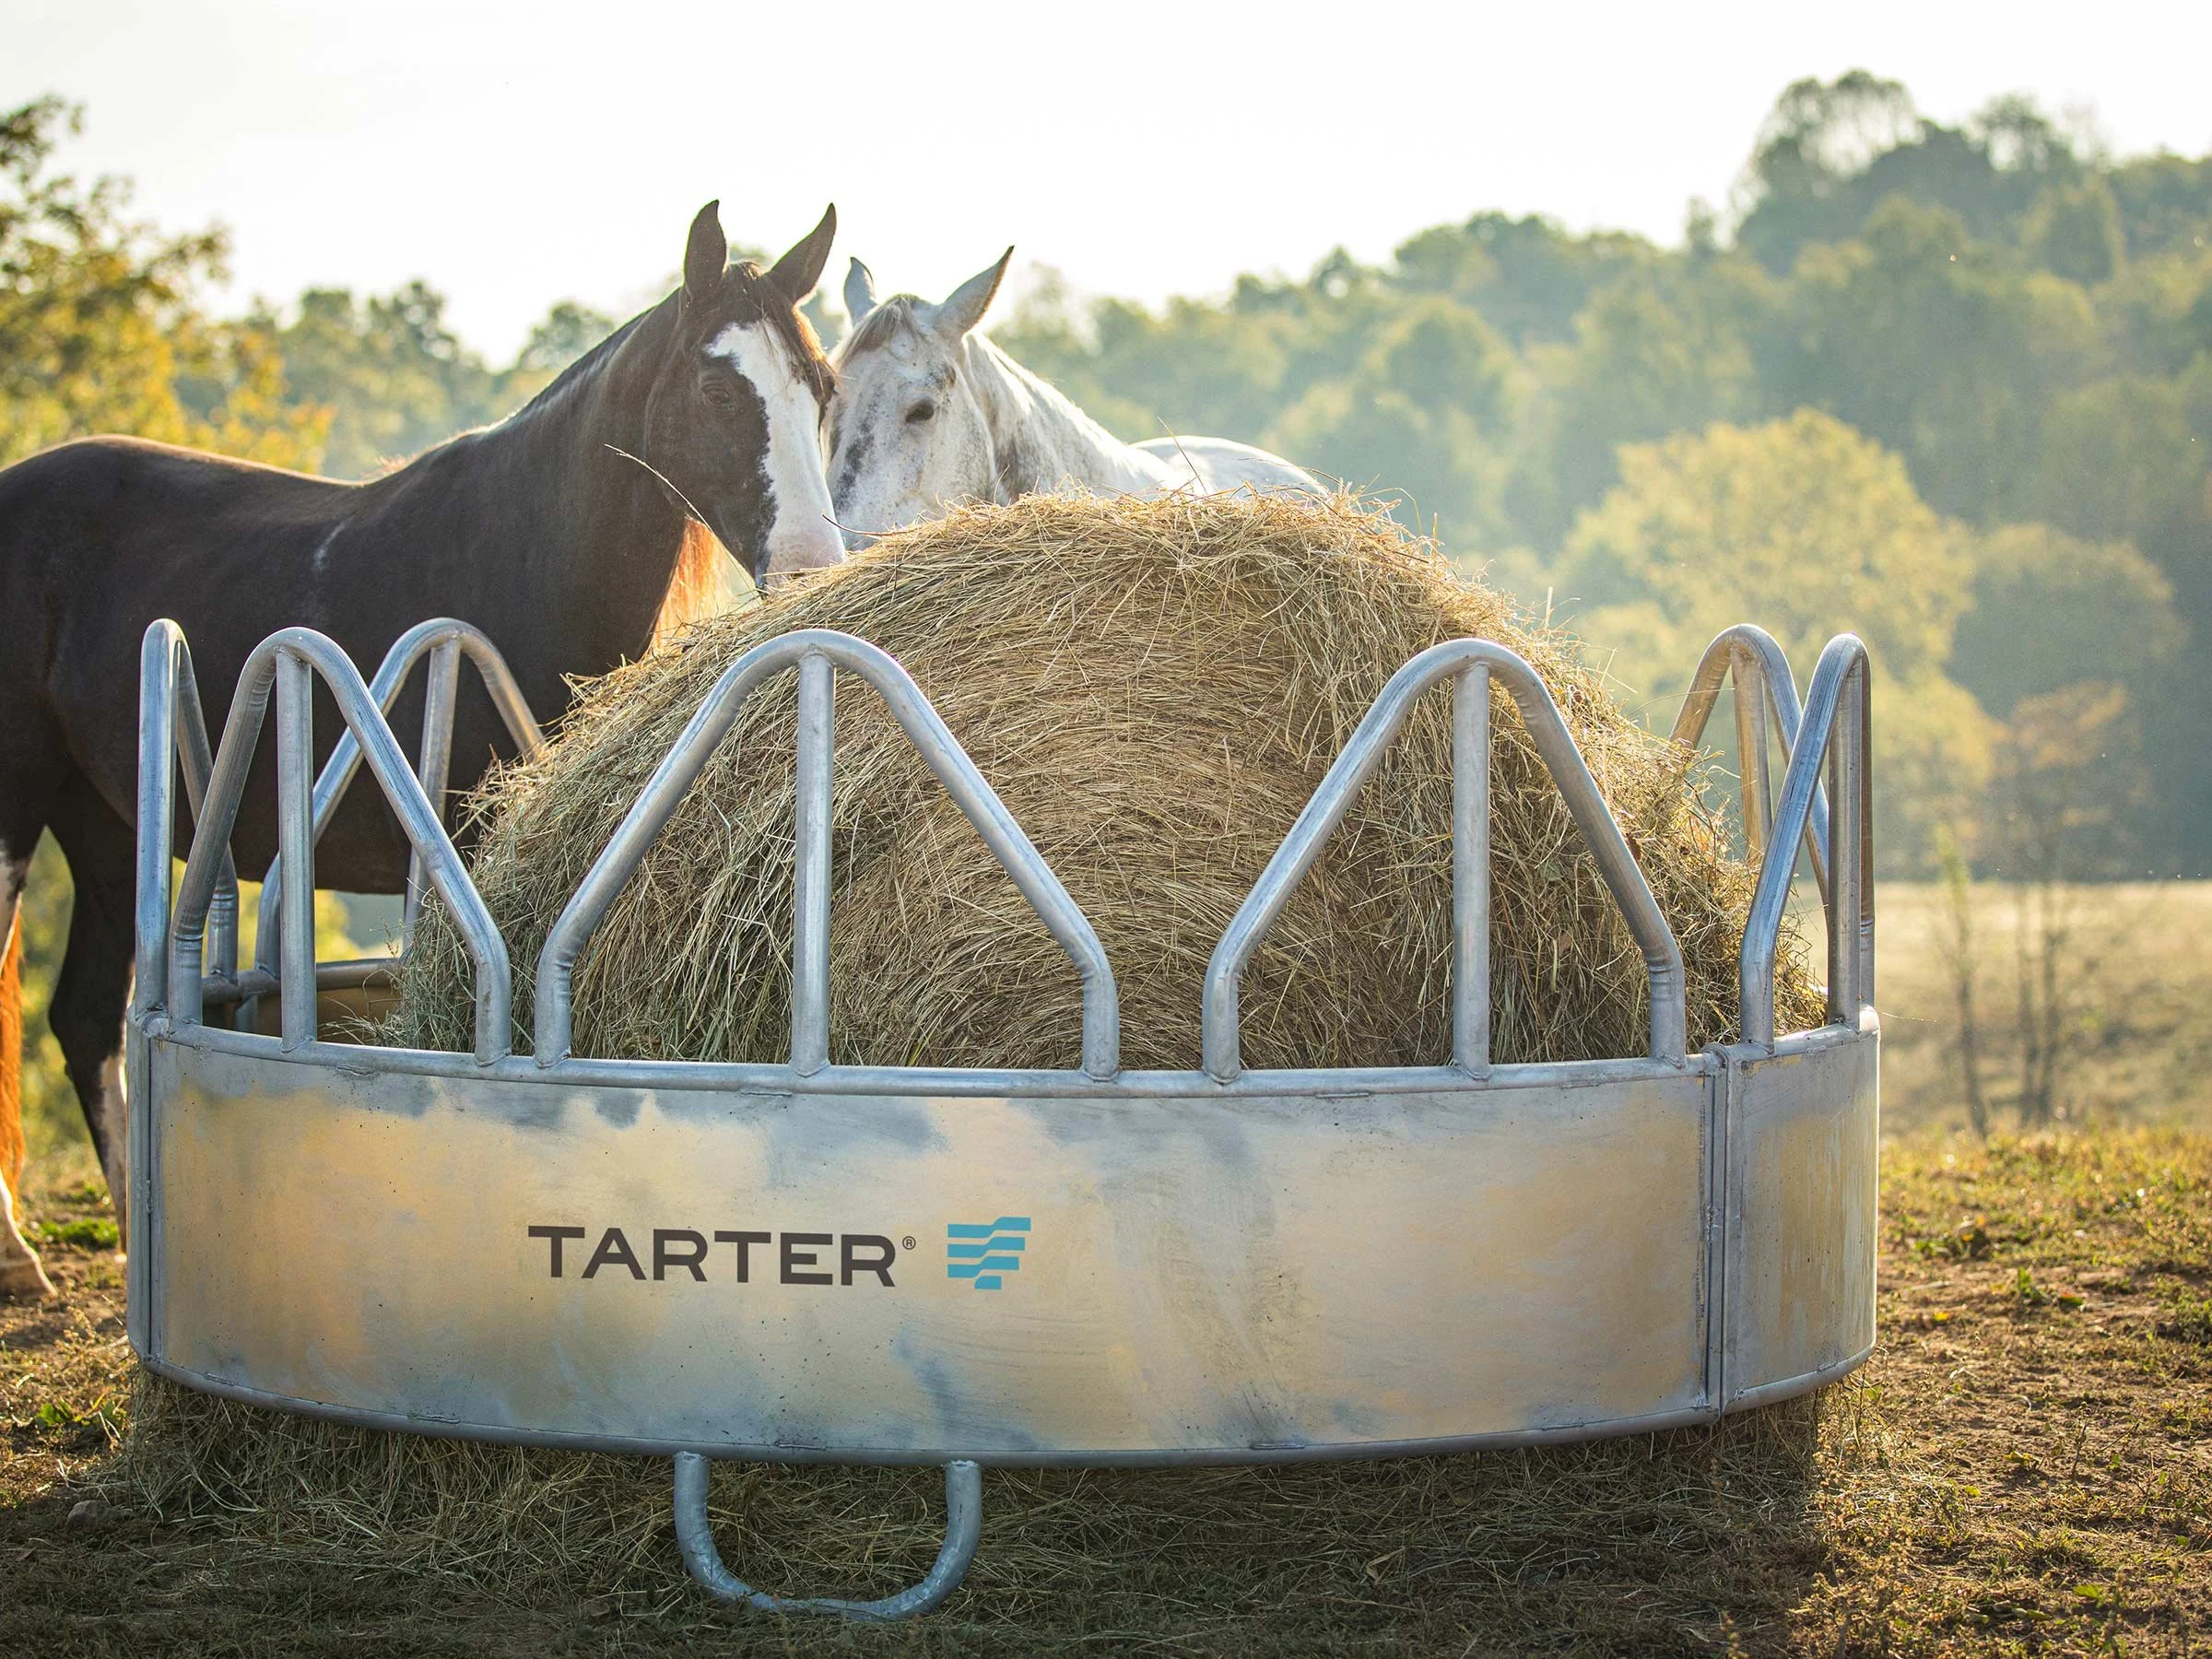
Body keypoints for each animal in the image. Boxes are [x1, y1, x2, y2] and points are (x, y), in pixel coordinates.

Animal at [0, 200, 846, 1299]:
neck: (520, 559)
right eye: (715, 386)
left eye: (822, 389)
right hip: (19, 807)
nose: (812, 567)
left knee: (83, 1020)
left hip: (102, 826)